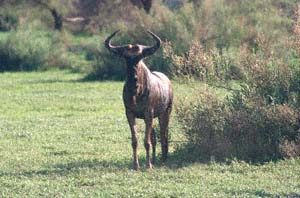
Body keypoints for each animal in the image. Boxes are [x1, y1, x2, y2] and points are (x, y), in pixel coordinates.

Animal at [105, 30, 173, 169]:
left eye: (140, 56)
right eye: (125, 57)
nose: (133, 80)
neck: (137, 94)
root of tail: (168, 82)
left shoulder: (148, 113)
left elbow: (146, 141)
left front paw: (147, 165)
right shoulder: (130, 114)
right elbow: (135, 141)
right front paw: (136, 165)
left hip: (165, 113)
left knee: (163, 134)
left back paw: (163, 159)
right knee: (154, 137)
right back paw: (154, 160)